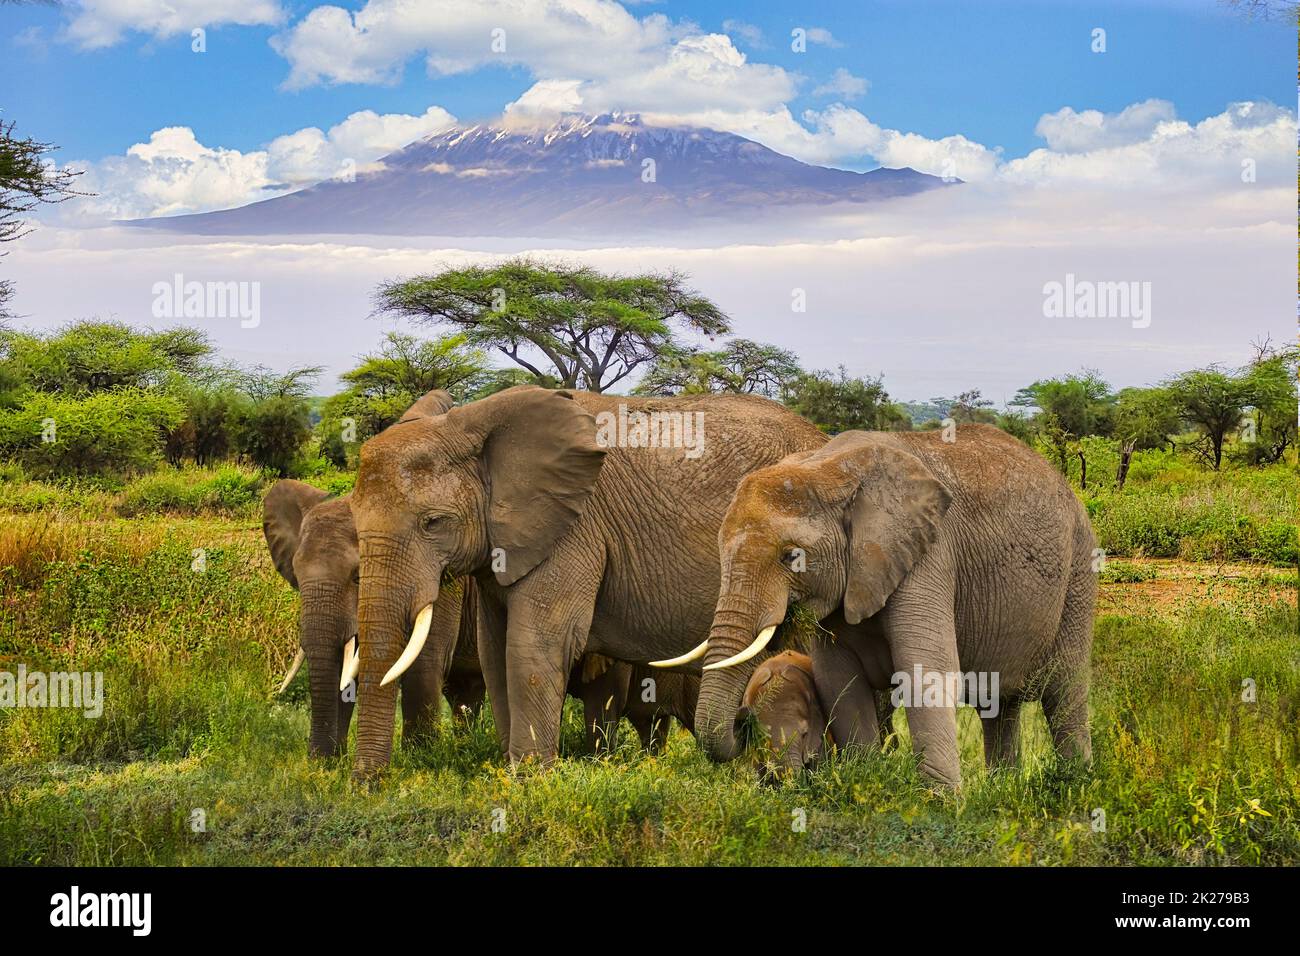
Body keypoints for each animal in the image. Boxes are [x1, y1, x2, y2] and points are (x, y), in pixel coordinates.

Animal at [345, 382, 821, 780]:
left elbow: (534, 644)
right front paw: (513, 774)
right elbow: (494, 649)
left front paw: (530, 779)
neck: (471, 424)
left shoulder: (575, 530)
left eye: (433, 523)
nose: (369, 783)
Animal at [696, 429, 1092, 790]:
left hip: (1079, 568)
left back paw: (1075, 784)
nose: (742, 720)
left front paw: (939, 803)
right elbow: (839, 681)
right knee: (997, 704)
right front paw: (867, 782)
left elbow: (926, 671)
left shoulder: (929, 555)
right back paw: (1002, 789)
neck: (828, 468)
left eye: (792, 557)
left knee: (1065, 693)